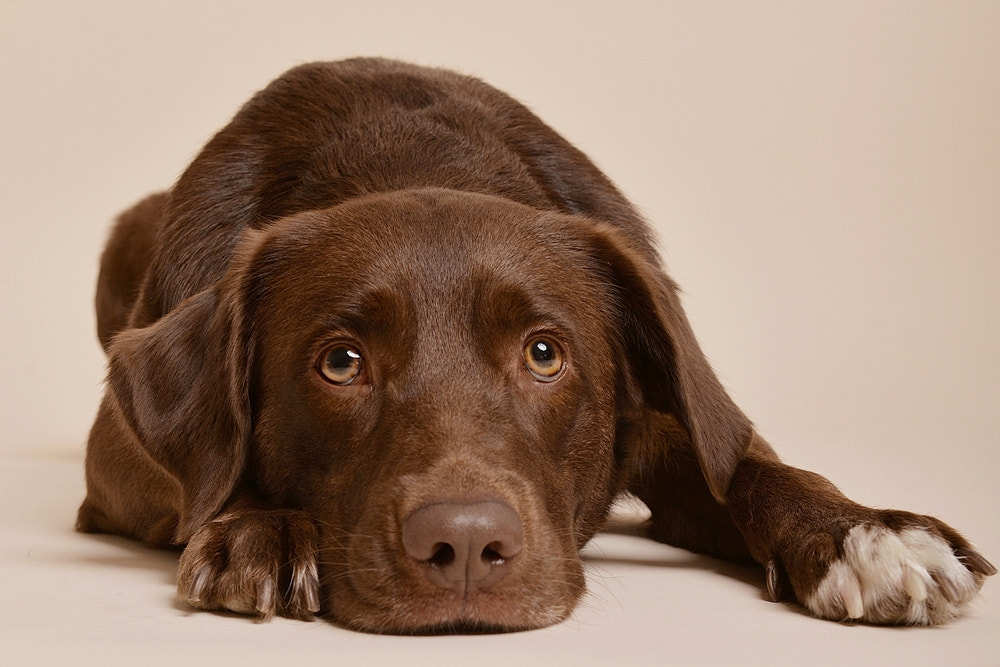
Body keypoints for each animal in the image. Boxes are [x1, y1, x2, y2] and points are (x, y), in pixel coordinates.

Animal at [78, 57, 992, 632]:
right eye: (340, 362)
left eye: (544, 353)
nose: (464, 547)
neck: (408, 159)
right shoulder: (113, 460)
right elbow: (203, 472)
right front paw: (259, 528)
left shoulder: (661, 419)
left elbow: (743, 464)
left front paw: (863, 533)